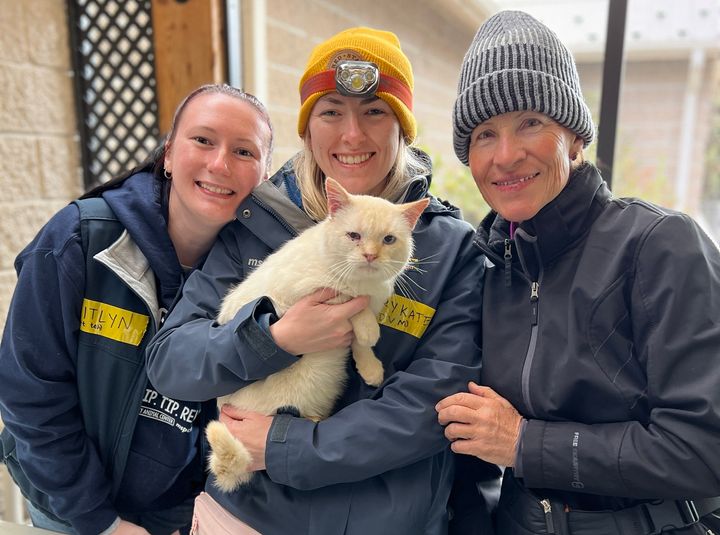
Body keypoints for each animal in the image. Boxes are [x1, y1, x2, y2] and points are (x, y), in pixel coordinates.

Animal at [205, 179, 428, 494]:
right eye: (354, 236)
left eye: (388, 240)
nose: (371, 255)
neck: (367, 284)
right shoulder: (299, 292)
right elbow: (349, 299)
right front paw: (367, 327)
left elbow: (358, 342)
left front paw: (370, 367)